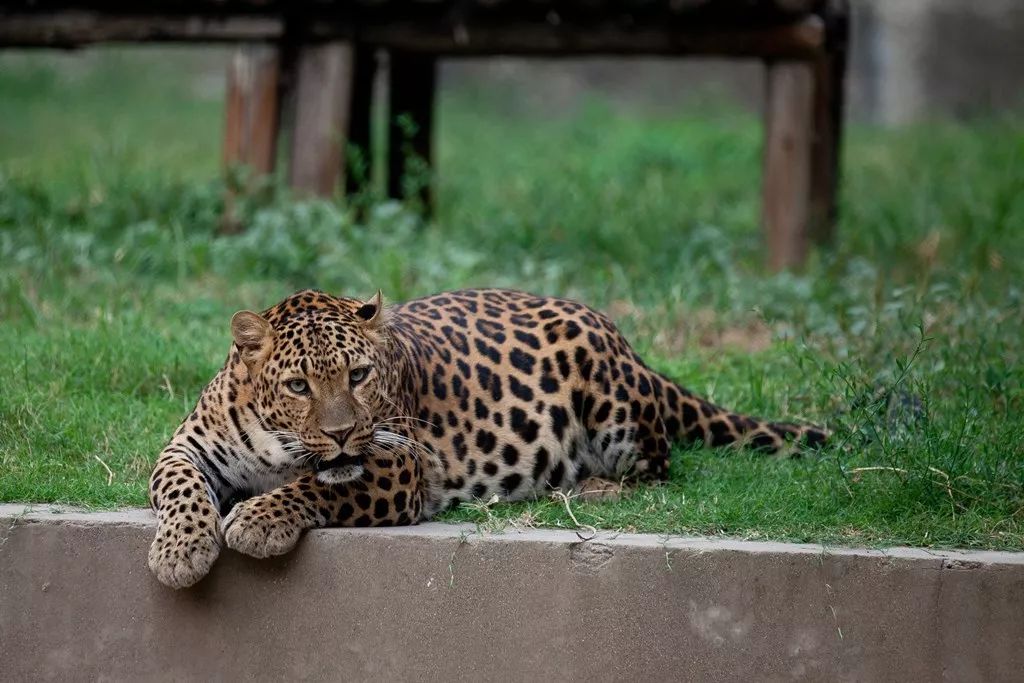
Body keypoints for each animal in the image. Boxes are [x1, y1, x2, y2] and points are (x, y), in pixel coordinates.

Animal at [148, 288, 827, 589]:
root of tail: (610, 325)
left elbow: (318, 487)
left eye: (359, 376)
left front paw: (257, 520)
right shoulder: (187, 446)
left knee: (658, 466)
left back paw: (595, 488)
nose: (340, 435)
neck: (277, 446)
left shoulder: (398, 465)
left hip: (614, 405)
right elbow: (179, 487)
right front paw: (181, 552)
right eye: (297, 386)